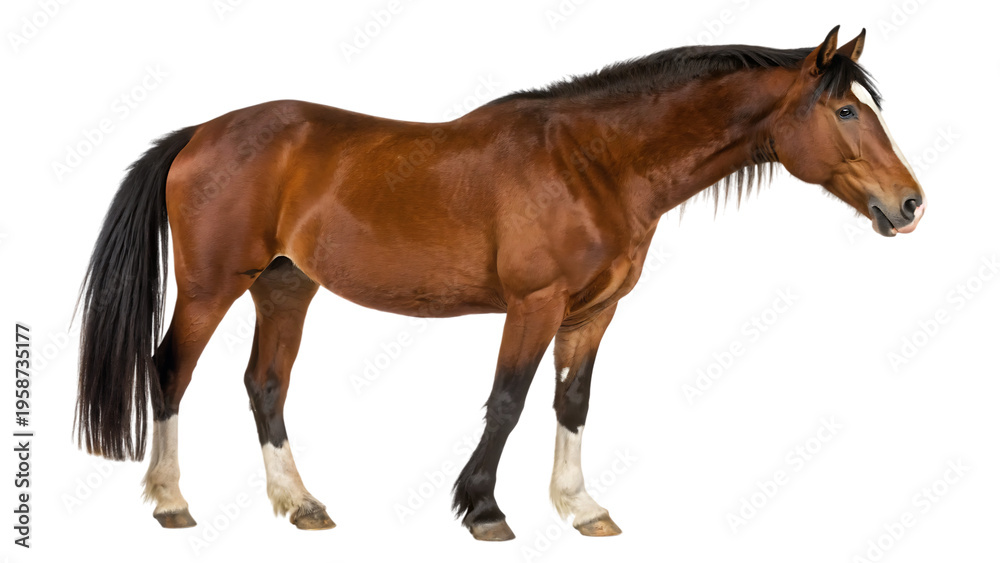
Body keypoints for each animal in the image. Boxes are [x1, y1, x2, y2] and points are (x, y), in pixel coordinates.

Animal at [75, 25, 925, 541]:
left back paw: (301, 502)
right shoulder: (534, 304)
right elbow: (509, 399)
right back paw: (172, 500)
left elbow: (572, 401)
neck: (594, 162)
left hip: (285, 287)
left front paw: (582, 506)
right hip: (213, 285)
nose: (910, 203)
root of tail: (200, 133)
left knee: (265, 384)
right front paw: (482, 507)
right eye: (846, 111)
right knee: (169, 370)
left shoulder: (593, 311)